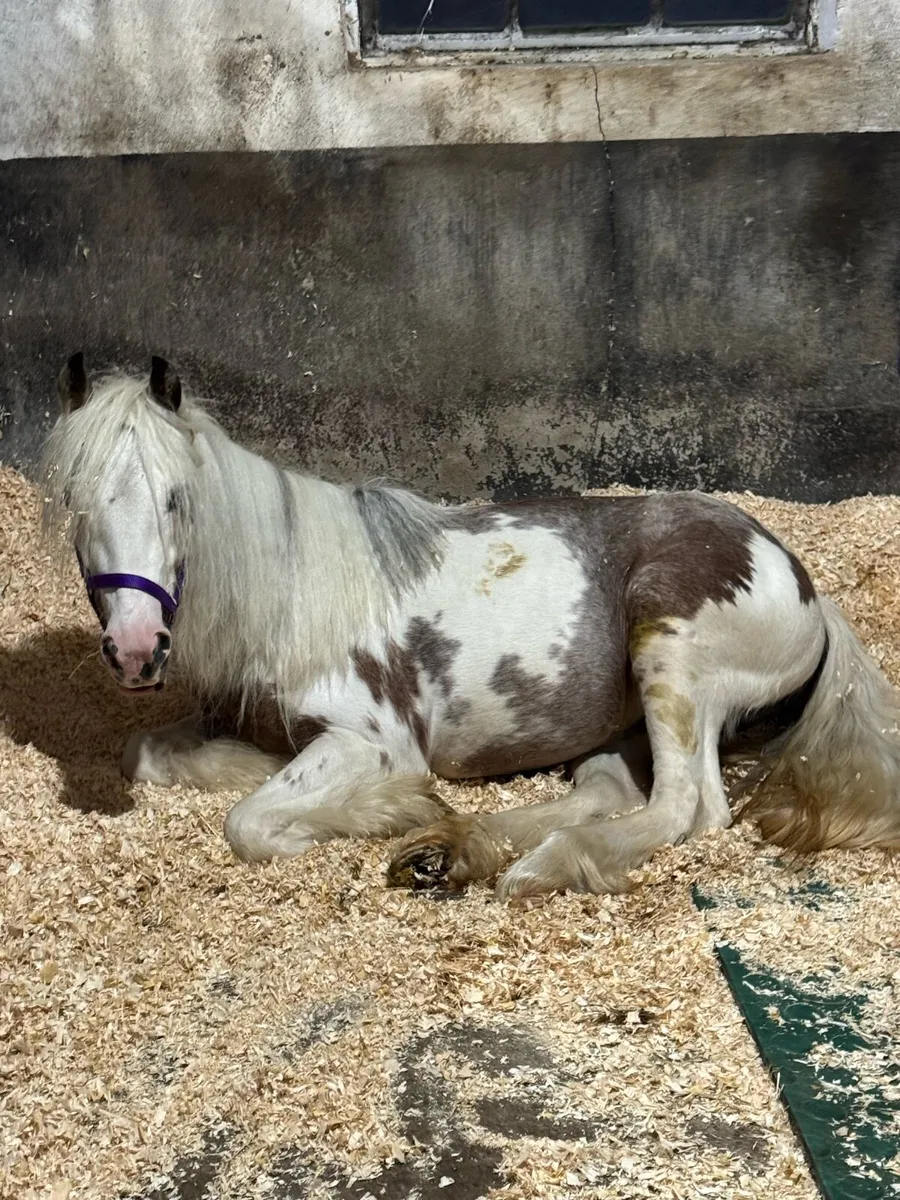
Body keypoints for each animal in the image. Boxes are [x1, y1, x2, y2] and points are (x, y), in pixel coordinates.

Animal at [40, 353, 900, 898]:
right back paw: (453, 851)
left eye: (176, 500)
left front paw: (377, 809)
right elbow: (143, 753)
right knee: (606, 794)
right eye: (75, 504)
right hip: (619, 724)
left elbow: (249, 822)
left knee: (686, 808)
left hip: (672, 659)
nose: (135, 649)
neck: (289, 595)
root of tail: (803, 584)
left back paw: (534, 867)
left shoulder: (371, 738)